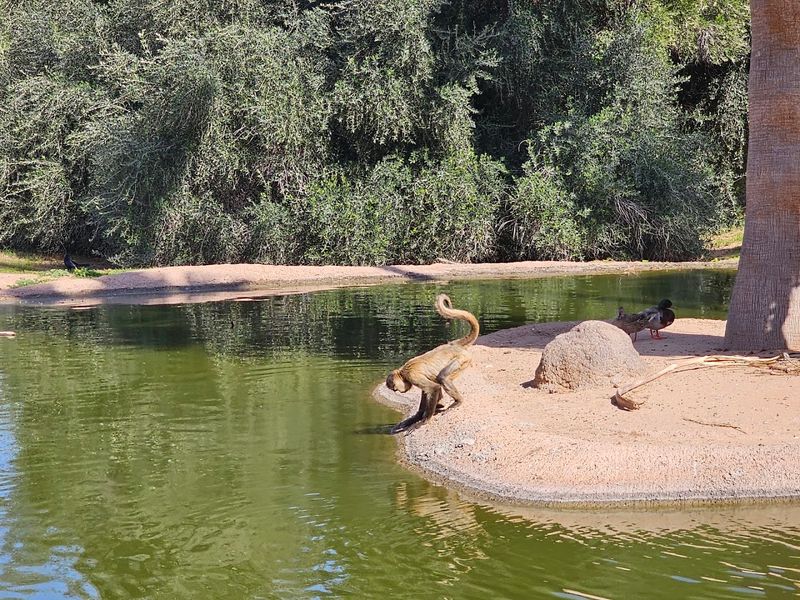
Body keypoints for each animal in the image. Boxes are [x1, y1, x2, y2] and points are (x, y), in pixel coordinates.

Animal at [386, 294, 479, 434]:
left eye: (394, 388)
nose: (398, 391)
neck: (403, 370)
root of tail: (453, 345)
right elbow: (428, 391)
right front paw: (415, 418)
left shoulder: (411, 375)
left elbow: (434, 388)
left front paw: (423, 421)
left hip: (462, 359)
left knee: (443, 377)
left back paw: (458, 402)